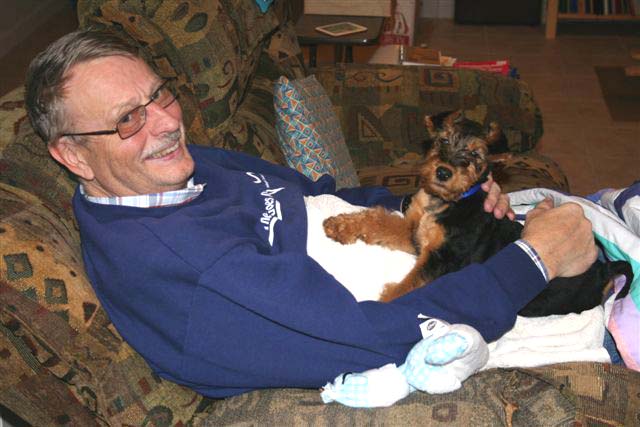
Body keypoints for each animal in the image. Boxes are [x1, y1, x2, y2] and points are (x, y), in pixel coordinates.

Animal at [322, 110, 632, 318]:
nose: (443, 172)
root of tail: (603, 268)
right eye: (443, 140)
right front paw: (340, 225)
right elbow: (377, 219)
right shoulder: (415, 234)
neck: (447, 202)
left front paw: (381, 308)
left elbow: (406, 287)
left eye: (475, 155)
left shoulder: (441, 259)